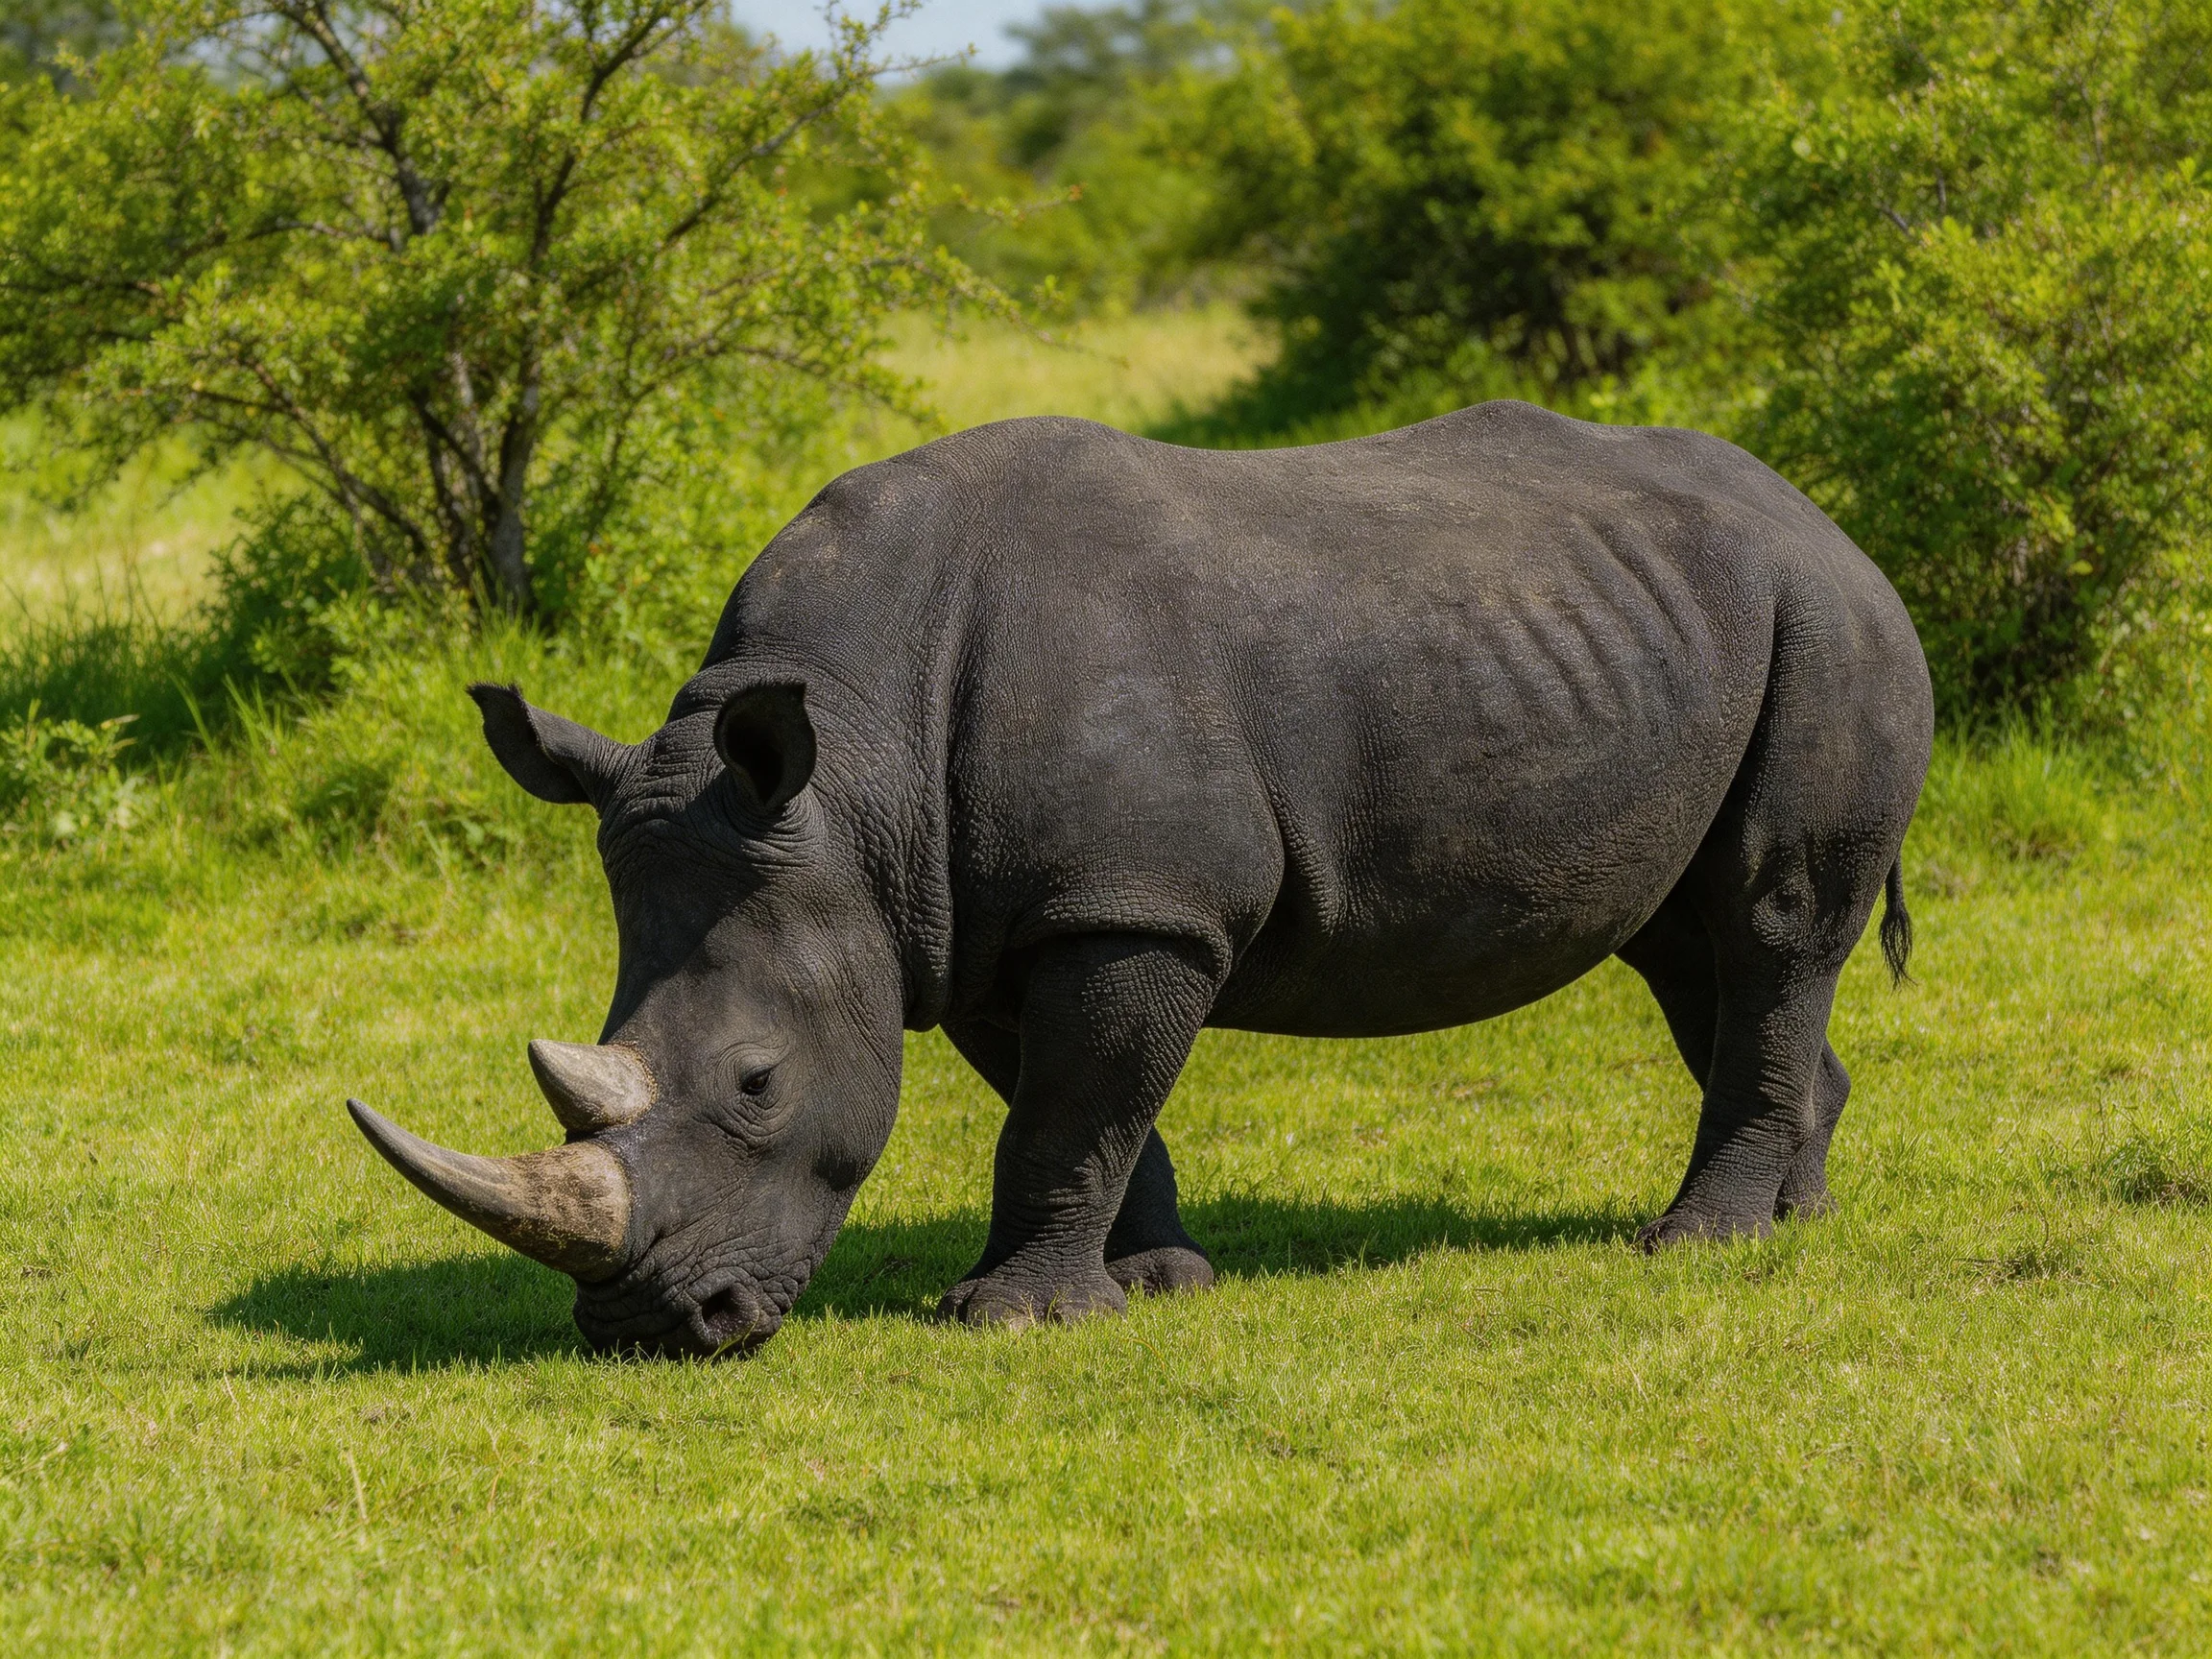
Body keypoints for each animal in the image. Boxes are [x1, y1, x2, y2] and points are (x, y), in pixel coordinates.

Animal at [347, 403, 1932, 1357]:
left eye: (755, 1084)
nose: (662, 1330)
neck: (853, 773)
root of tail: (1828, 518)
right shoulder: (984, 916)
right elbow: (1085, 1107)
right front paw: (1158, 1283)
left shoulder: (1130, 908)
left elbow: (1070, 1111)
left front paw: (1007, 1320)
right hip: (1697, 633)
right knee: (1693, 947)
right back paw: (1798, 1221)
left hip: (1832, 626)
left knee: (1772, 920)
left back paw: (1695, 1245)